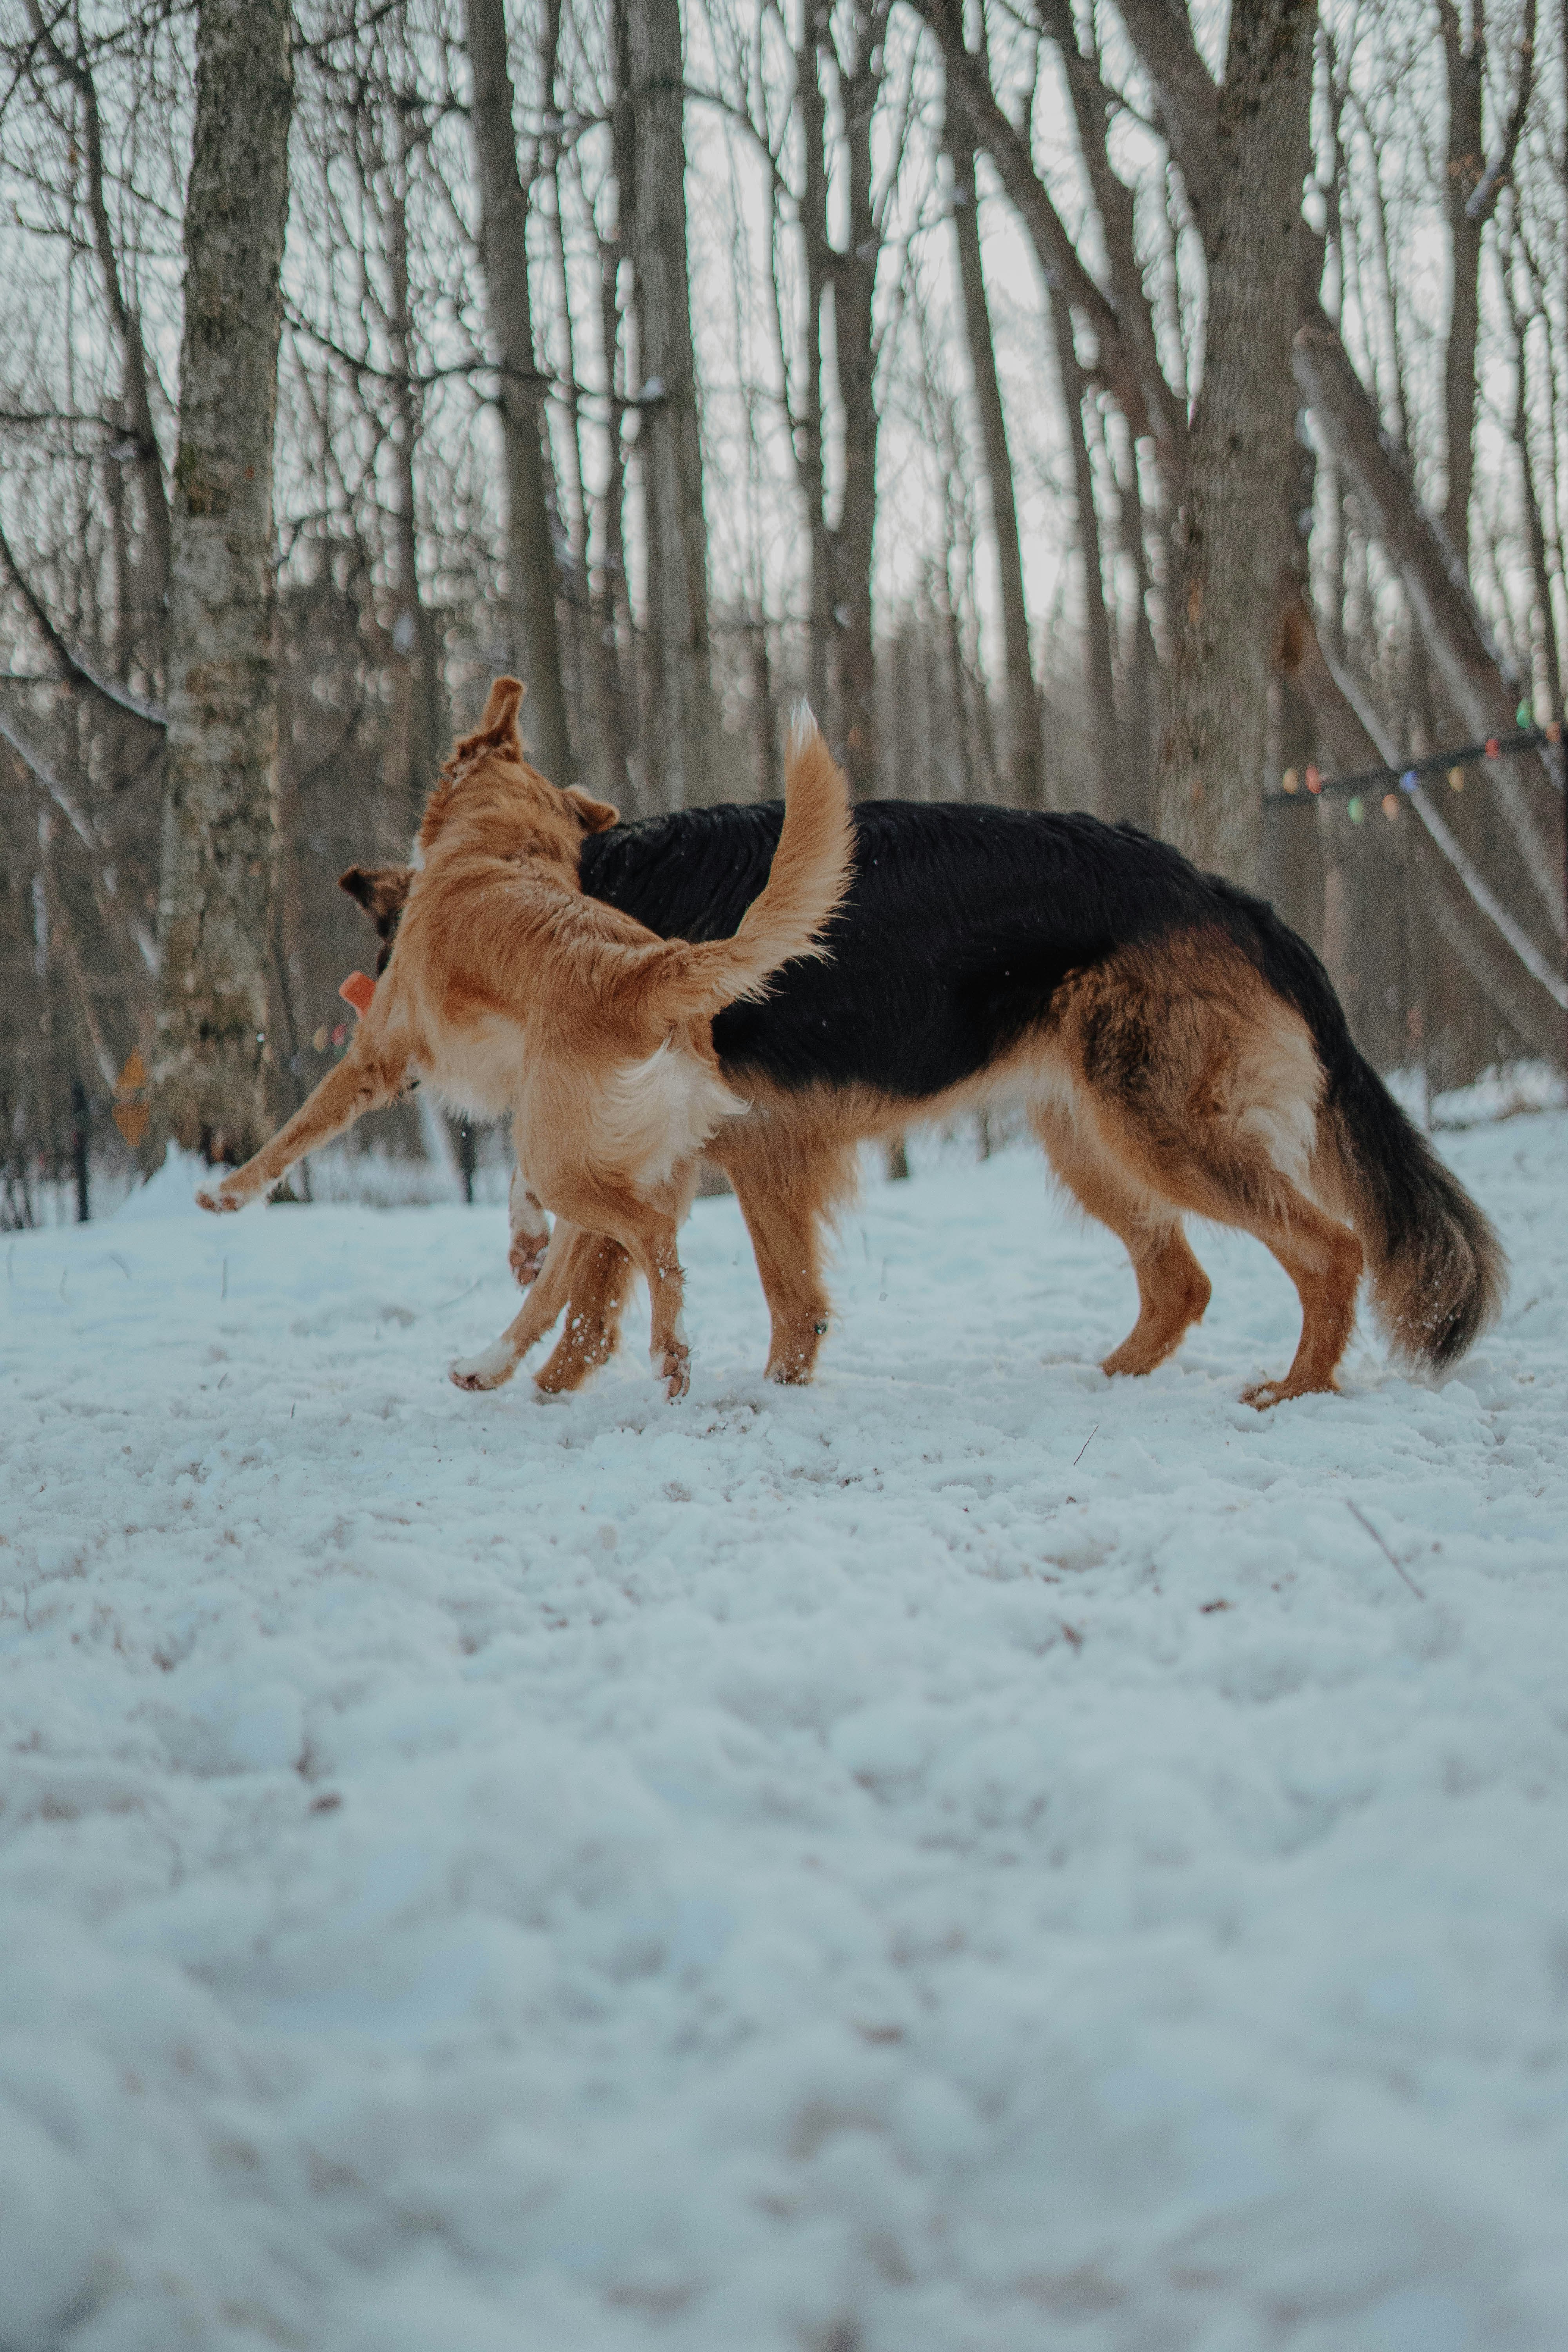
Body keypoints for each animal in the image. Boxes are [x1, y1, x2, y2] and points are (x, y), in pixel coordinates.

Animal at [201, 682, 860, 1392]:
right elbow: (524, 1208)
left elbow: (295, 1132)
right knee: (560, 1281)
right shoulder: (525, 1090)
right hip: (596, 1148)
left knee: (652, 1234)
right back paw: (487, 1364)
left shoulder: (378, 1054)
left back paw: (668, 1351)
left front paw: (226, 1192)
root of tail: (646, 970)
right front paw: (524, 1239)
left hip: (568, 1162)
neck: (502, 842)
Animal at [341, 724, 1495, 1402]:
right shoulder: (748, 1153)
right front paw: (771, 1389)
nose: (382, 1066)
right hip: (1090, 1137)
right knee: (1182, 1280)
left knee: (1330, 1249)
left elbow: (589, 1281)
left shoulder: (699, 1155)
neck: (568, 900)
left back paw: (1296, 1390)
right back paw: (1112, 1381)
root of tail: (1220, 893)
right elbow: (778, 1295)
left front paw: (546, 1381)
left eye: (394, 976)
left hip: (1162, 1130)